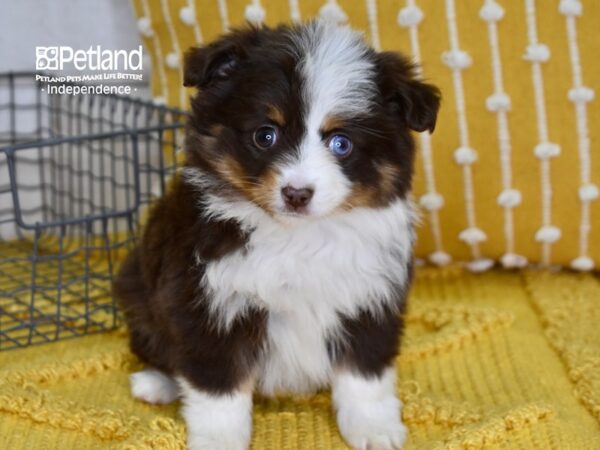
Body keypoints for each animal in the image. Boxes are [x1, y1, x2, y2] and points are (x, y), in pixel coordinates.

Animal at [113, 20, 440, 450]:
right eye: (265, 135)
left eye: (342, 143)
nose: (297, 193)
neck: (296, 237)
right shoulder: (207, 303)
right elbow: (218, 389)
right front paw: (219, 439)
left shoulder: (369, 299)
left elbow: (364, 374)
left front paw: (374, 429)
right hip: (138, 289)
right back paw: (157, 383)